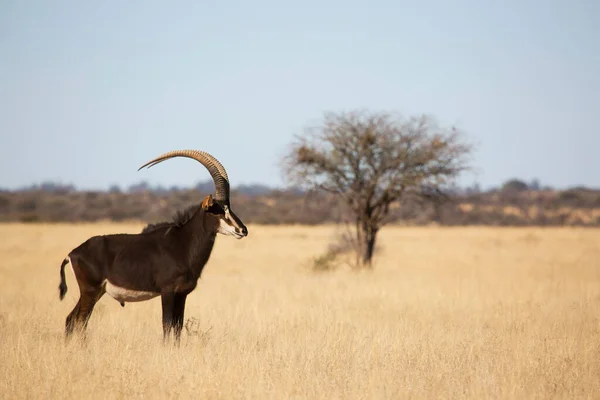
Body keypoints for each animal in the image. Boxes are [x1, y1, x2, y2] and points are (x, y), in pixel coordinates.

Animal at [58, 150, 248, 344]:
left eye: (229, 208)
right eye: (217, 211)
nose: (242, 230)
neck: (181, 244)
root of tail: (72, 254)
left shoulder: (182, 294)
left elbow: (178, 327)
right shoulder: (168, 291)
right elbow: (167, 325)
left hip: (96, 292)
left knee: (71, 319)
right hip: (90, 291)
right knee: (80, 320)